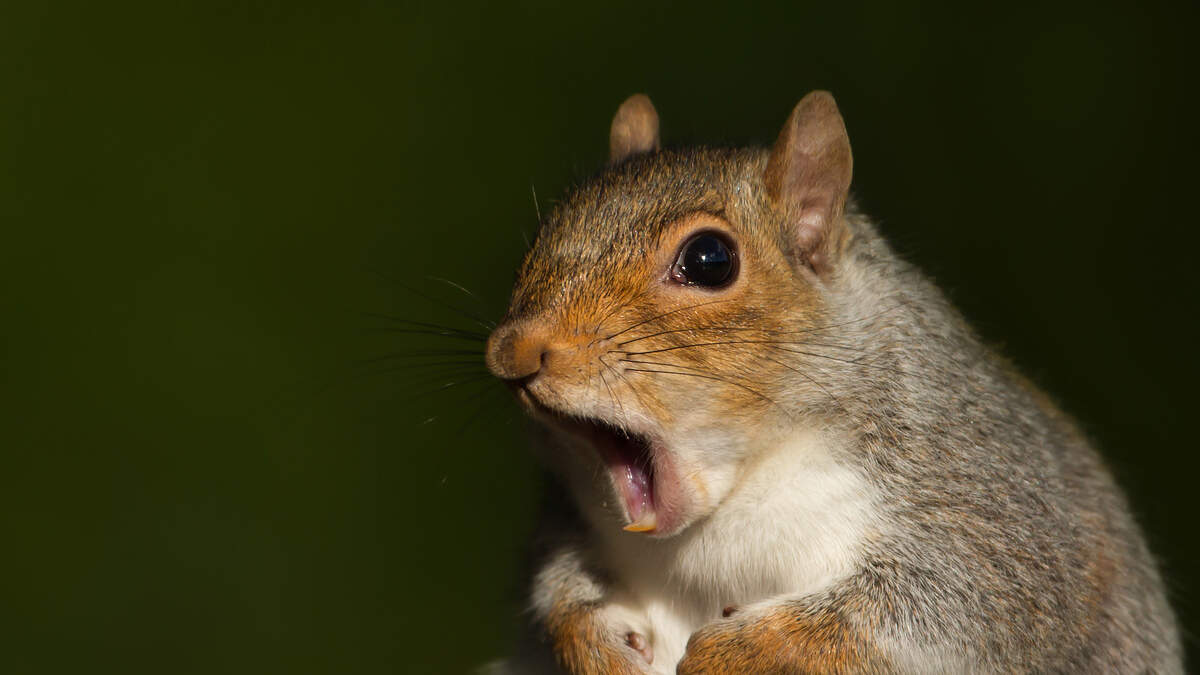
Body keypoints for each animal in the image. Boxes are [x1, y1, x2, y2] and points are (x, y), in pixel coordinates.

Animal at [477, 91, 1180, 667]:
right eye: (545, 231)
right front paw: (591, 638)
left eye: (710, 259)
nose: (512, 352)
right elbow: (559, 584)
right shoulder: (569, 520)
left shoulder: (993, 507)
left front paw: (745, 648)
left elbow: (944, 603)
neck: (724, 513)